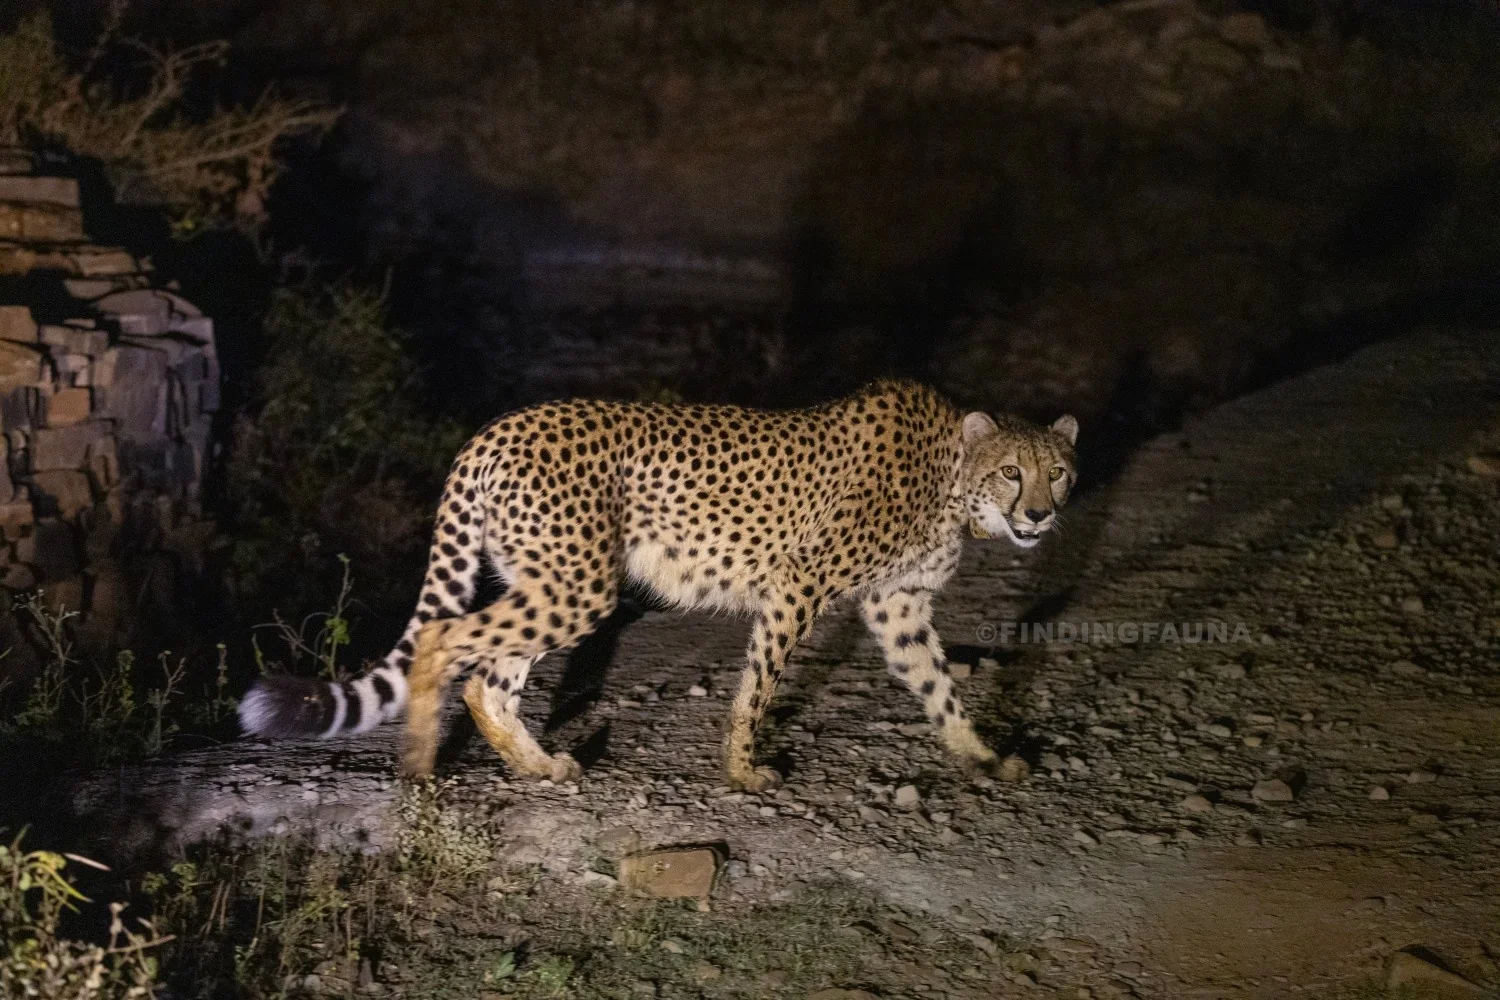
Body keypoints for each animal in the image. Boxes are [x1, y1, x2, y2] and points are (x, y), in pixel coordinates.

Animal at [239, 379, 1078, 792]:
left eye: (1059, 472)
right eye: (1013, 472)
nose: (1040, 514)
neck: (952, 480)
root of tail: (497, 427)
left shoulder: (895, 605)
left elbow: (939, 688)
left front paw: (985, 758)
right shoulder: (798, 586)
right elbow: (757, 688)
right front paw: (743, 771)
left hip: (554, 582)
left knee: (489, 680)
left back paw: (538, 767)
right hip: (576, 585)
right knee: (446, 640)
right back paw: (417, 767)